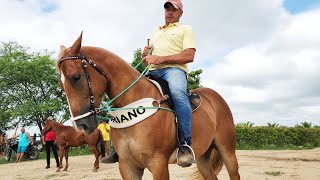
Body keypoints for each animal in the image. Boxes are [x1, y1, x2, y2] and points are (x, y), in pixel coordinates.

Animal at [56, 33, 239, 179]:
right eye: (61, 84)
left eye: (76, 77)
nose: (81, 125)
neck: (132, 102)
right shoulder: (128, 166)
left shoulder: (158, 164)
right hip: (202, 157)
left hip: (227, 150)